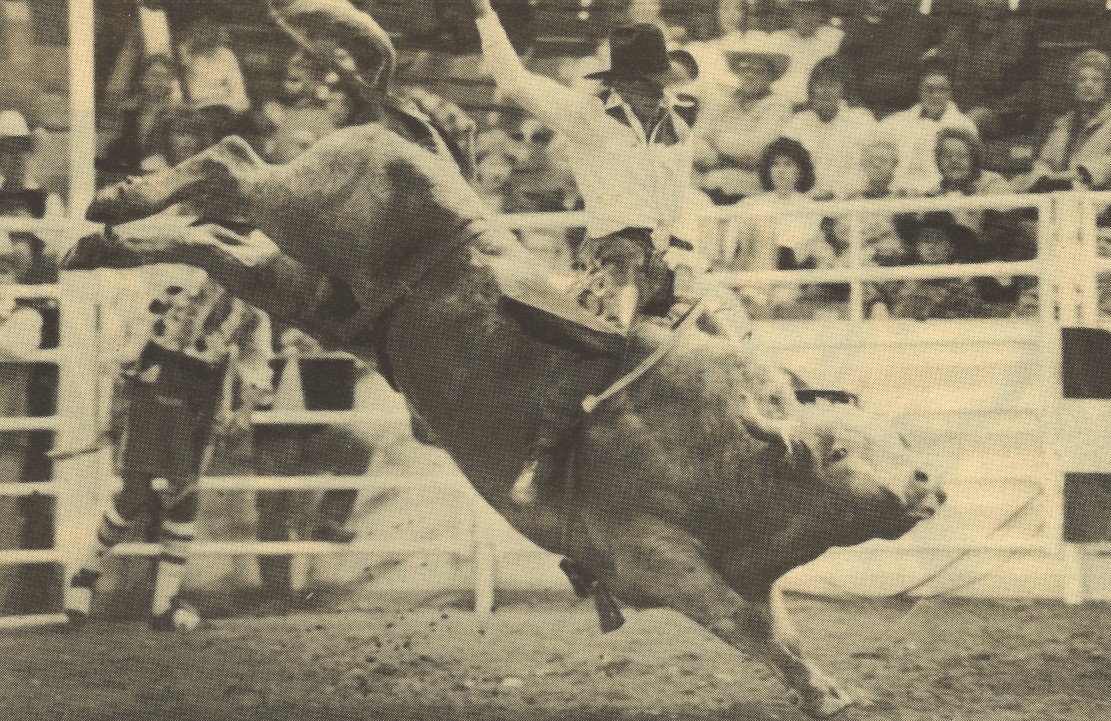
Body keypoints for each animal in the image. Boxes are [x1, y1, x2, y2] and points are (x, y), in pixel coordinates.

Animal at [64, 11, 942, 719]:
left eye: (897, 437)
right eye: (837, 449)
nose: (926, 481)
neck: (734, 452)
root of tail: (418, 136)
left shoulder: (750, 573)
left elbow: (776, 627)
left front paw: (826, 687)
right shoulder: (653, 553)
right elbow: (744, 622)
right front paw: (826, 693)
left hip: (315, 296)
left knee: (220, 240)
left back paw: (101, 241)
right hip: (304, 210)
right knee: (232, 158)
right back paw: (112, 203)